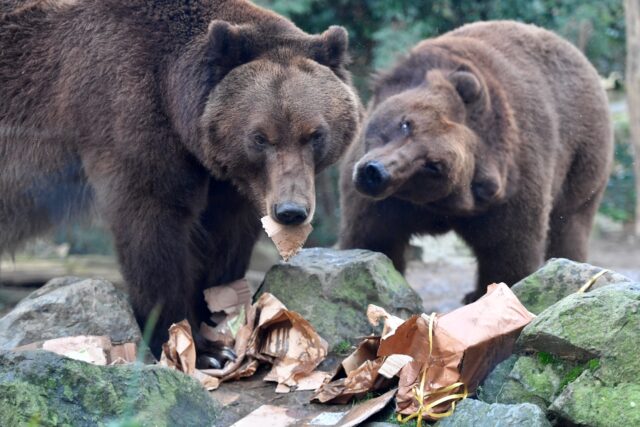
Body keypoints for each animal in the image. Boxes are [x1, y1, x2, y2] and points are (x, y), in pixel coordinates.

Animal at [0, 0, 361, 365]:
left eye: (315, 134)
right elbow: (154, 228)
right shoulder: (125, 110)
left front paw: (219, 326)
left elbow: (225, 236)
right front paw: (193, 348)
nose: (290, 211)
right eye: (260, 137)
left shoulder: (226, 176)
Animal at [339, 21, 613, 302]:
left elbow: (509, 253)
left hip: (582, 162)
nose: (376, 172)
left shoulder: (510, 195)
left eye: (433, 165)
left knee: (569, 226)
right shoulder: (384, 202)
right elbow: (374, 238)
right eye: (407, 123)